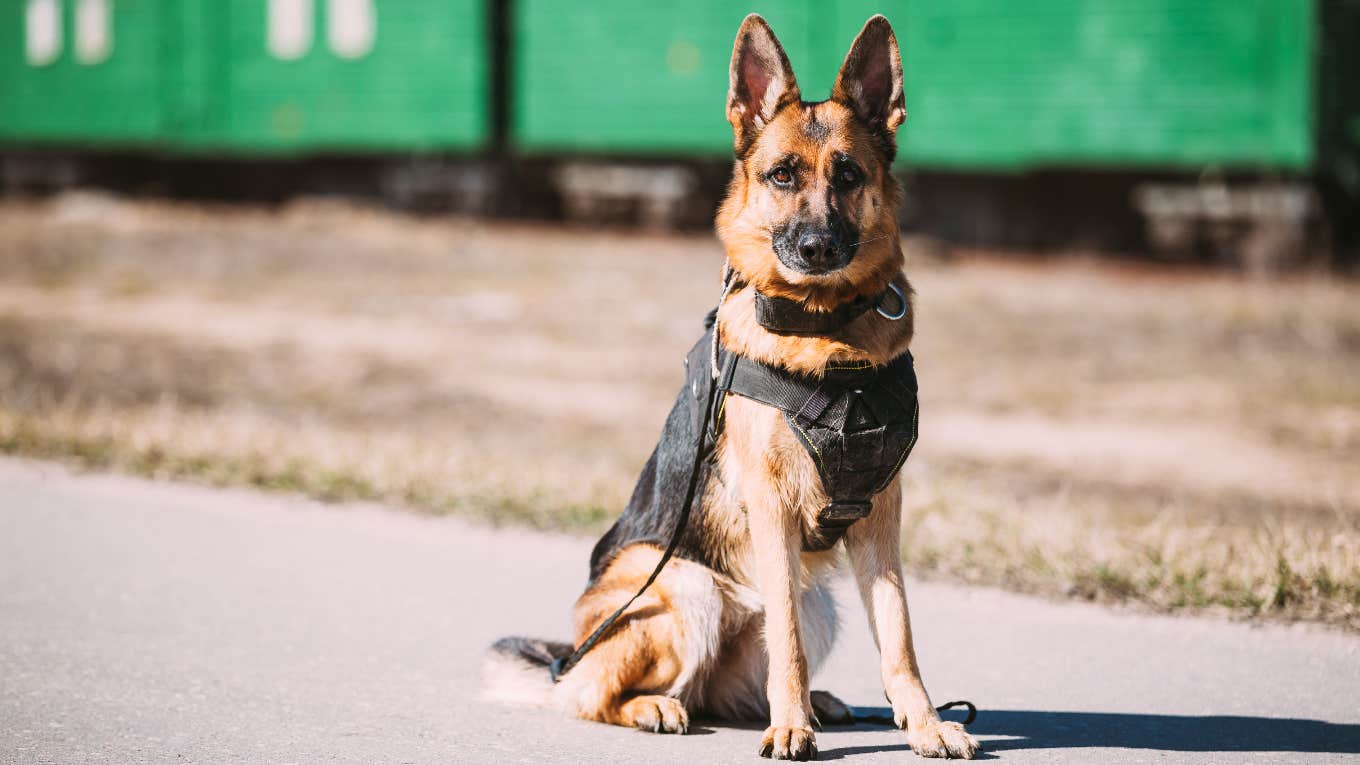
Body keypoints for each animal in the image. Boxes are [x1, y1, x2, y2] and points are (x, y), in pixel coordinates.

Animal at [486, 10, 979, 756]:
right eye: (781, 176)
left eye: (848, 175)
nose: (816, 248)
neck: (827, 330)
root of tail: (565, 655)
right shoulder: (772, 506)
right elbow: (788, 642)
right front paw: (792, 728)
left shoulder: (882, 516)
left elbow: (898, 635)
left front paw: (921, 723)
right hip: (684, 587)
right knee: (596, 693)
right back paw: (662, 706)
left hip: (819, 601)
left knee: (730, 685)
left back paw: (812, 704)